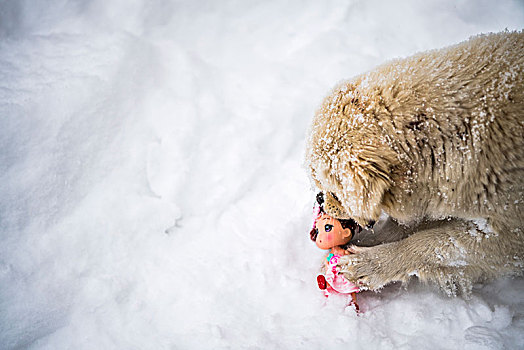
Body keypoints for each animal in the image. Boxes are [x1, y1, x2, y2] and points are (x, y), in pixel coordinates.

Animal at [308, 31, 524, 296]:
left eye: (333, 189)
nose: (319, 199)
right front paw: (365, 244)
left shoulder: (511, 228)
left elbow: (435, 242)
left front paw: (368, 264)